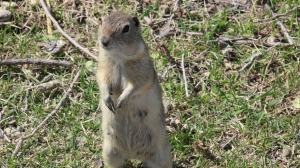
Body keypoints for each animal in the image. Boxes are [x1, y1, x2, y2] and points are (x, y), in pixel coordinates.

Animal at [95, 11, 172, 167]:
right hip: (110, 152)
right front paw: (108, 100)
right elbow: (102, 82)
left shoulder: (143, 72)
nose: (104, 41)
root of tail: (134, 154)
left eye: (126, 28)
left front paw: (121, 100)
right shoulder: (103, 69)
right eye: (101, 22)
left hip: (162, 156)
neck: (119, 58)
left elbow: (137, 85)